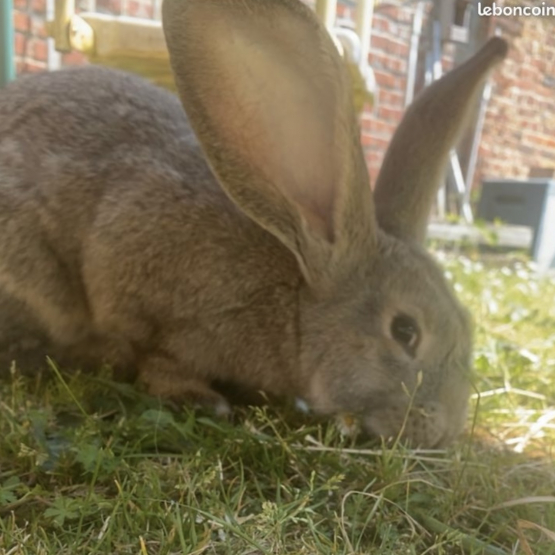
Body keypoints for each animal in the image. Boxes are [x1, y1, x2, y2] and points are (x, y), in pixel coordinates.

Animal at [0, 0, 508, 448]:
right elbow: (158, 359)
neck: (293, 307)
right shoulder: (133, 283)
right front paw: (204, 400)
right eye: (405, 331)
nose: (442, 431)